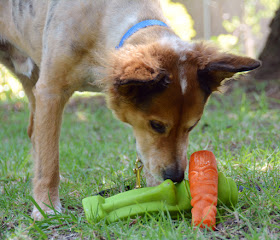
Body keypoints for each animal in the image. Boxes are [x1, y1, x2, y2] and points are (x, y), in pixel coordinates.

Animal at [0, 0, 260, 219]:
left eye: (192, 126)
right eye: (156, 125)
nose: (175, 177)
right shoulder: (50, 91)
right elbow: (49, 161)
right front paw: (46, 206)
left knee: (34, 131)